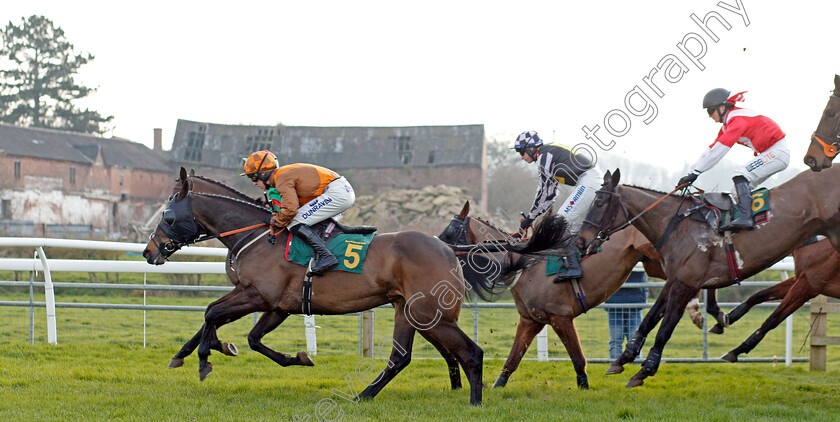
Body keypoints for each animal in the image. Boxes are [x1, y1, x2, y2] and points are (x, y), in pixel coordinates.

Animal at [144, 166, 568, 404]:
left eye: (167, 215)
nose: (150, 251)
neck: (257, 234)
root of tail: (449, 247)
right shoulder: (277, 305)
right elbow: (241, 333)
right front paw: (203, 351)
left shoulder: (258, 295)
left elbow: (212, 313)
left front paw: (205, 359)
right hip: (407, 311)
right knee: (402, 358)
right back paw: (364, 396)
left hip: (429, 313)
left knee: (470, 352)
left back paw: (475, 402)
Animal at [436, 201, 668, 390]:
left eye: (450, 230)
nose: (439, 247)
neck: (523, 266)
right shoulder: (531, 320)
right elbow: (512, 359)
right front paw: (496, 386)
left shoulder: (560, 317)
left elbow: (578, 358)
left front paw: (584, 386)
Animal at [576, 166, 840, 388]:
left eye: (599, 202)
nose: (580, 241)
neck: (676, 225)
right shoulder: (676, 278)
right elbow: (649, 319)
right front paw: (623, 358)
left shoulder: (686, 283)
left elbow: (665, 328)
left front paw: (645, 370)